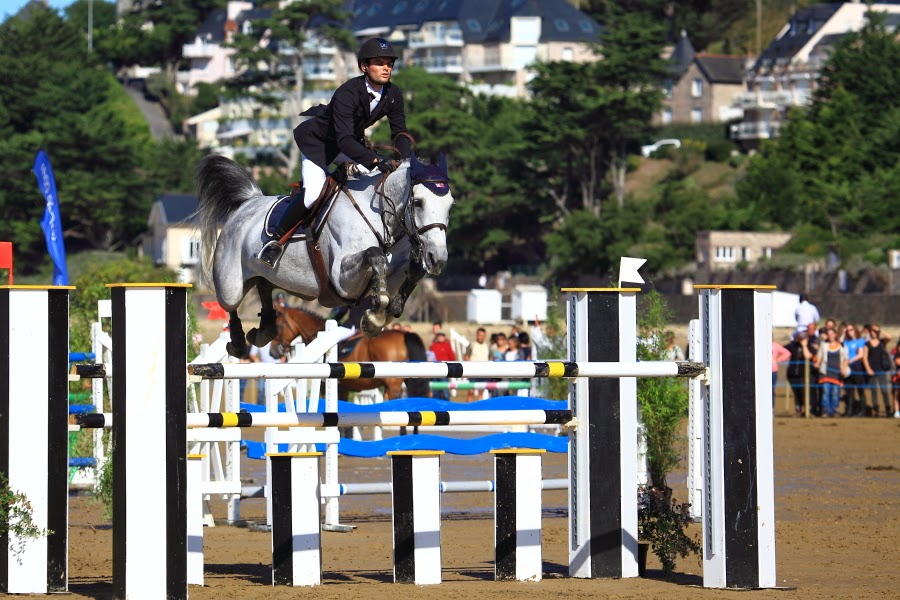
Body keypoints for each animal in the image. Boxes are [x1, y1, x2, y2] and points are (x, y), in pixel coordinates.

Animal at [196, 153, 453, 359]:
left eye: (450, 205)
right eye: (418, 202)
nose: (438, 258)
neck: (379, 215)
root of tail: (248, 202)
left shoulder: (394, 269)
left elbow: (413, 270)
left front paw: (392, 307)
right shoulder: (342, 280)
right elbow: (375, 256)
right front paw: (375, 317)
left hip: (264, 274)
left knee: (264, 285)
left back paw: (265, 328)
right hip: (230, 282)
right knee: (230, 304)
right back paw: (239, 343)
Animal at [271, 304, 430, 399]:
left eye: (277, 325)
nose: (273, 352)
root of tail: (404, 334)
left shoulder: (331, 389)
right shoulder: (343, 390)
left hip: (393, 386)